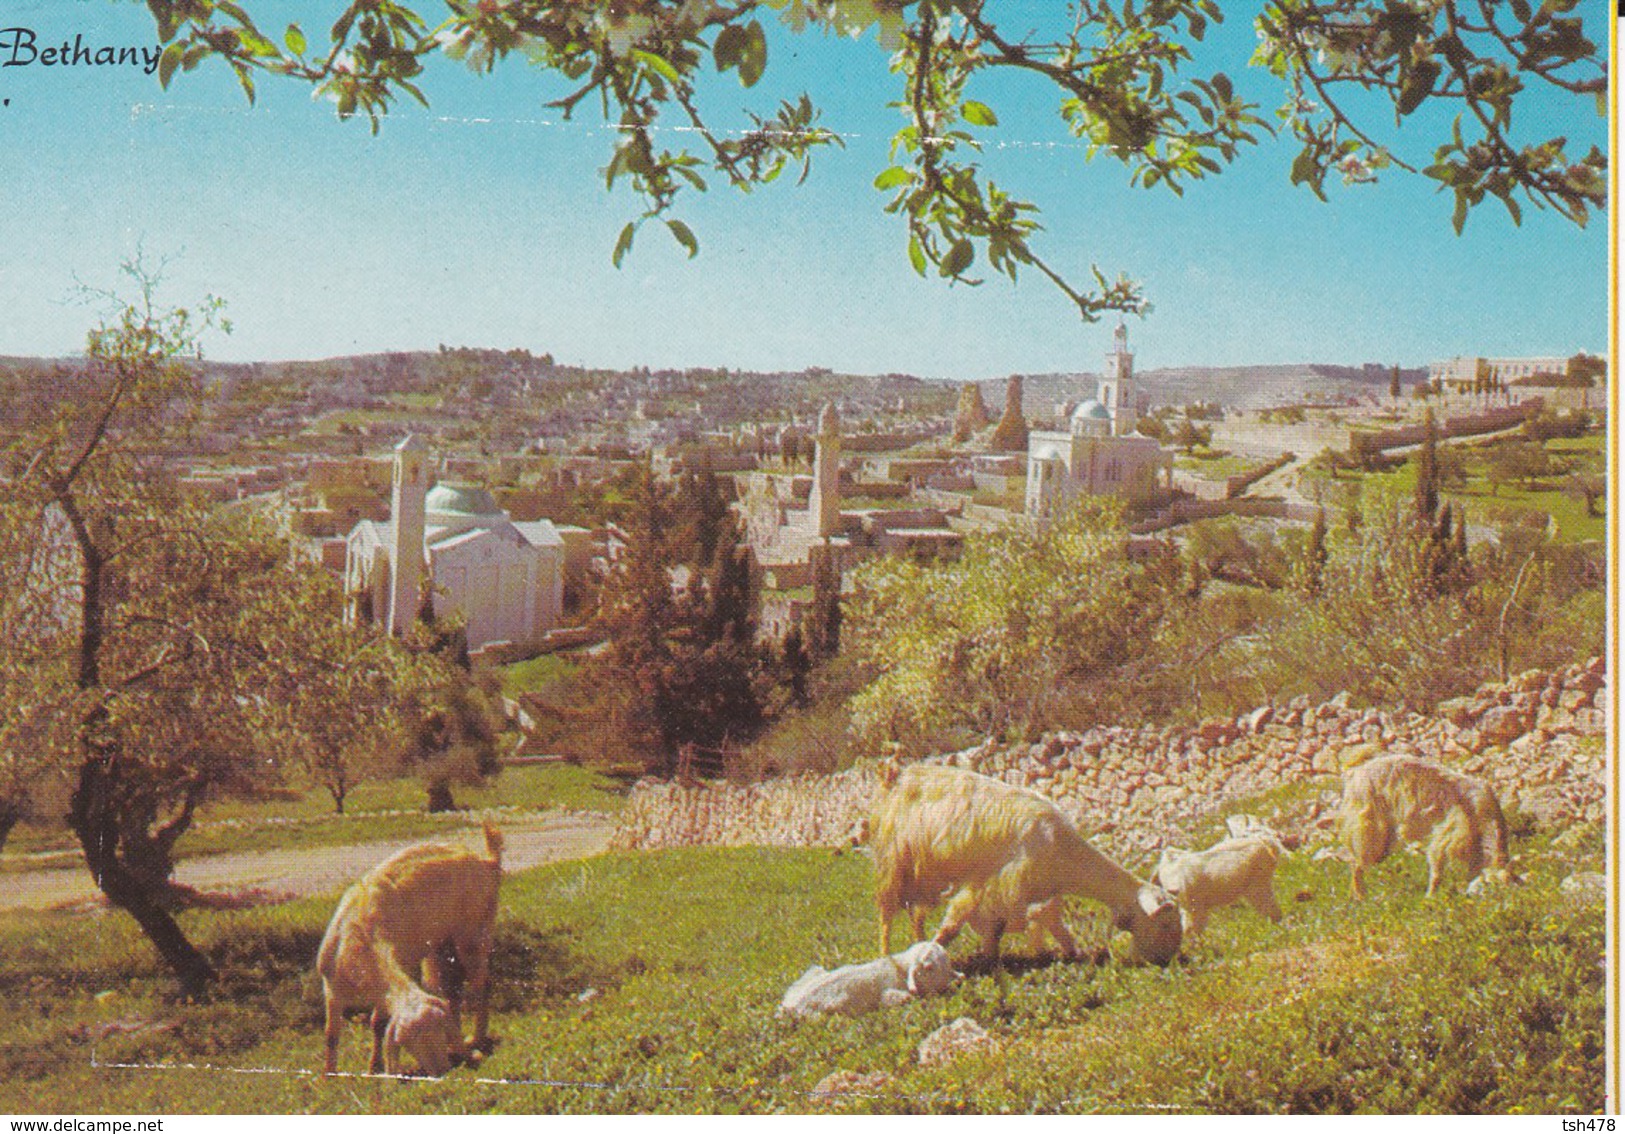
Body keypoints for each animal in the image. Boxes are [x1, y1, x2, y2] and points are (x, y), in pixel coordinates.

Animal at [313, 815, 497, 1072]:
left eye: (440, 1031)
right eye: (408, 1040)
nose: (442, 1070)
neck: (361, 934)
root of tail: (487, 861)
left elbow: (378, 1023)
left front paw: (375, 1067)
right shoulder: (331, 986)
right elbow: (331, 1034)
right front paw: (329, 1075)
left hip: (474, 933)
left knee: (481, 983)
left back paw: (476, 1037)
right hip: (441, 945)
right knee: (452, 989)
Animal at [780, 935, 955, 1013]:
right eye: (930, 967)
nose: (956, 979)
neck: (899, 968)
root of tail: (788, 1005)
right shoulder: (888, 994)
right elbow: (904, 998)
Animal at [864, 760, 1183, 961]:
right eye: (1166, 923)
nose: (1167, 959)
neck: (1061, 850)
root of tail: (898, 776)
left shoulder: (1039, 896)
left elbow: (1053, 929)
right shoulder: (993, 884)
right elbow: (956, 924)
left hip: (925, 876)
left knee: (915, 914)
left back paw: (916, 942)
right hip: (894, 863)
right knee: (886, 914)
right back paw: (885, 955)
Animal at [1150, 831, 1287, 935]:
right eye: (1162, 876)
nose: (1173, 890)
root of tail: (1267, 843)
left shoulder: (1195, 907)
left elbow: (1192, 927)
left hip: (1257, 884)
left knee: (1268, 907)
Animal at [1345, 753, 1508, 896]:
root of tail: (1356, 776)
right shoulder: (1446, 837)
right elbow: (1437, 868)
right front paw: (1430, 896)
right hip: (1370, 828)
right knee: (1357, 863)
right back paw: (1361, 896)